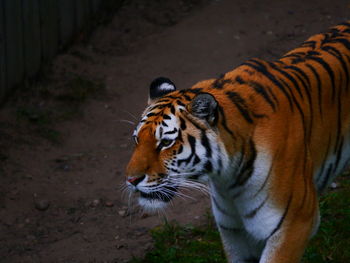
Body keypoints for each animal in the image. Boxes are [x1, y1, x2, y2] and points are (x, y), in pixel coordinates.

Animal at [123, 21, 350, 262]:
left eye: (166, 143)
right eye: (137, 139)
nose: (131, 180)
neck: (227, 179)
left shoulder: (295, 223)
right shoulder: (234, 231)